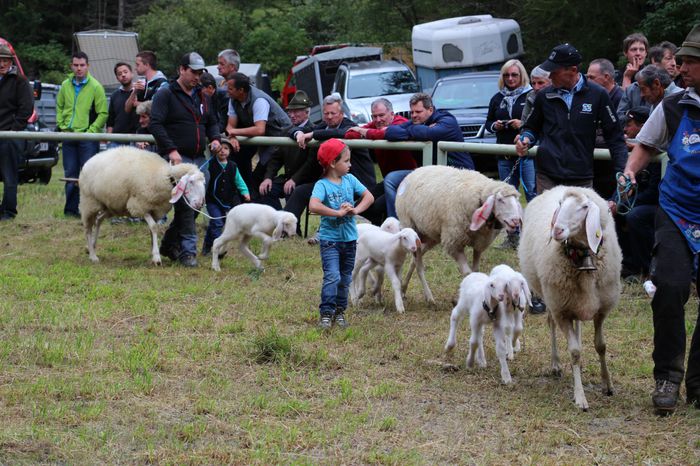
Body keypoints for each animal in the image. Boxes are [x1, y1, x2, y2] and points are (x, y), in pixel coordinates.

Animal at [396, 166, 524, 304]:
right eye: (500, 200)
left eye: (516, 201)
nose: (516, 221)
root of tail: (415, 170)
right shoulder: (454, 243)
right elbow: (468, 273)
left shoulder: (479, 242)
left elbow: (476, 270)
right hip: (411, 227)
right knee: (419, 266)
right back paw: (429, 297)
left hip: (430, 237)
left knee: (414, 262)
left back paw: (403, 289)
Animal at [516, 186, 620, 412]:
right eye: (560, 205)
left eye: (584, 207)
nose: (556, 230)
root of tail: (556, 187)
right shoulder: (561, 310)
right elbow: (574, 351)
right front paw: (580, 397)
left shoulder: (601, 310)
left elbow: (601, 346)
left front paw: (607, 384)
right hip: (552, 299)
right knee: (551, 324)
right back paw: (555, 364)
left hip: (576, 301)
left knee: (578, 326)